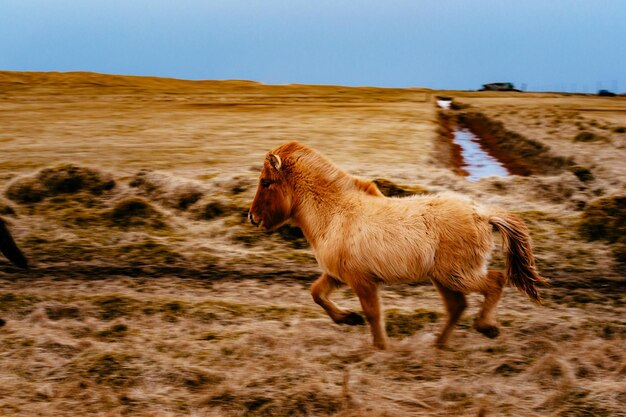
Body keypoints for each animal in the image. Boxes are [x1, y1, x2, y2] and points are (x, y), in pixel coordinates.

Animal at [246, 141, 544, 350]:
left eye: (265, 182)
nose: (252, 217)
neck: (336, 213)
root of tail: (482, 215)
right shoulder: (338, 275)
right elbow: (316, 294)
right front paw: (348, 318)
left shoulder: (362, 281)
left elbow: (373, 314)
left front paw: (380, 348)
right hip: (443, 279)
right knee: (457, 307)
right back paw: (439, 346)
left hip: (457, 275)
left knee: (495, 282)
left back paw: (486, 327)